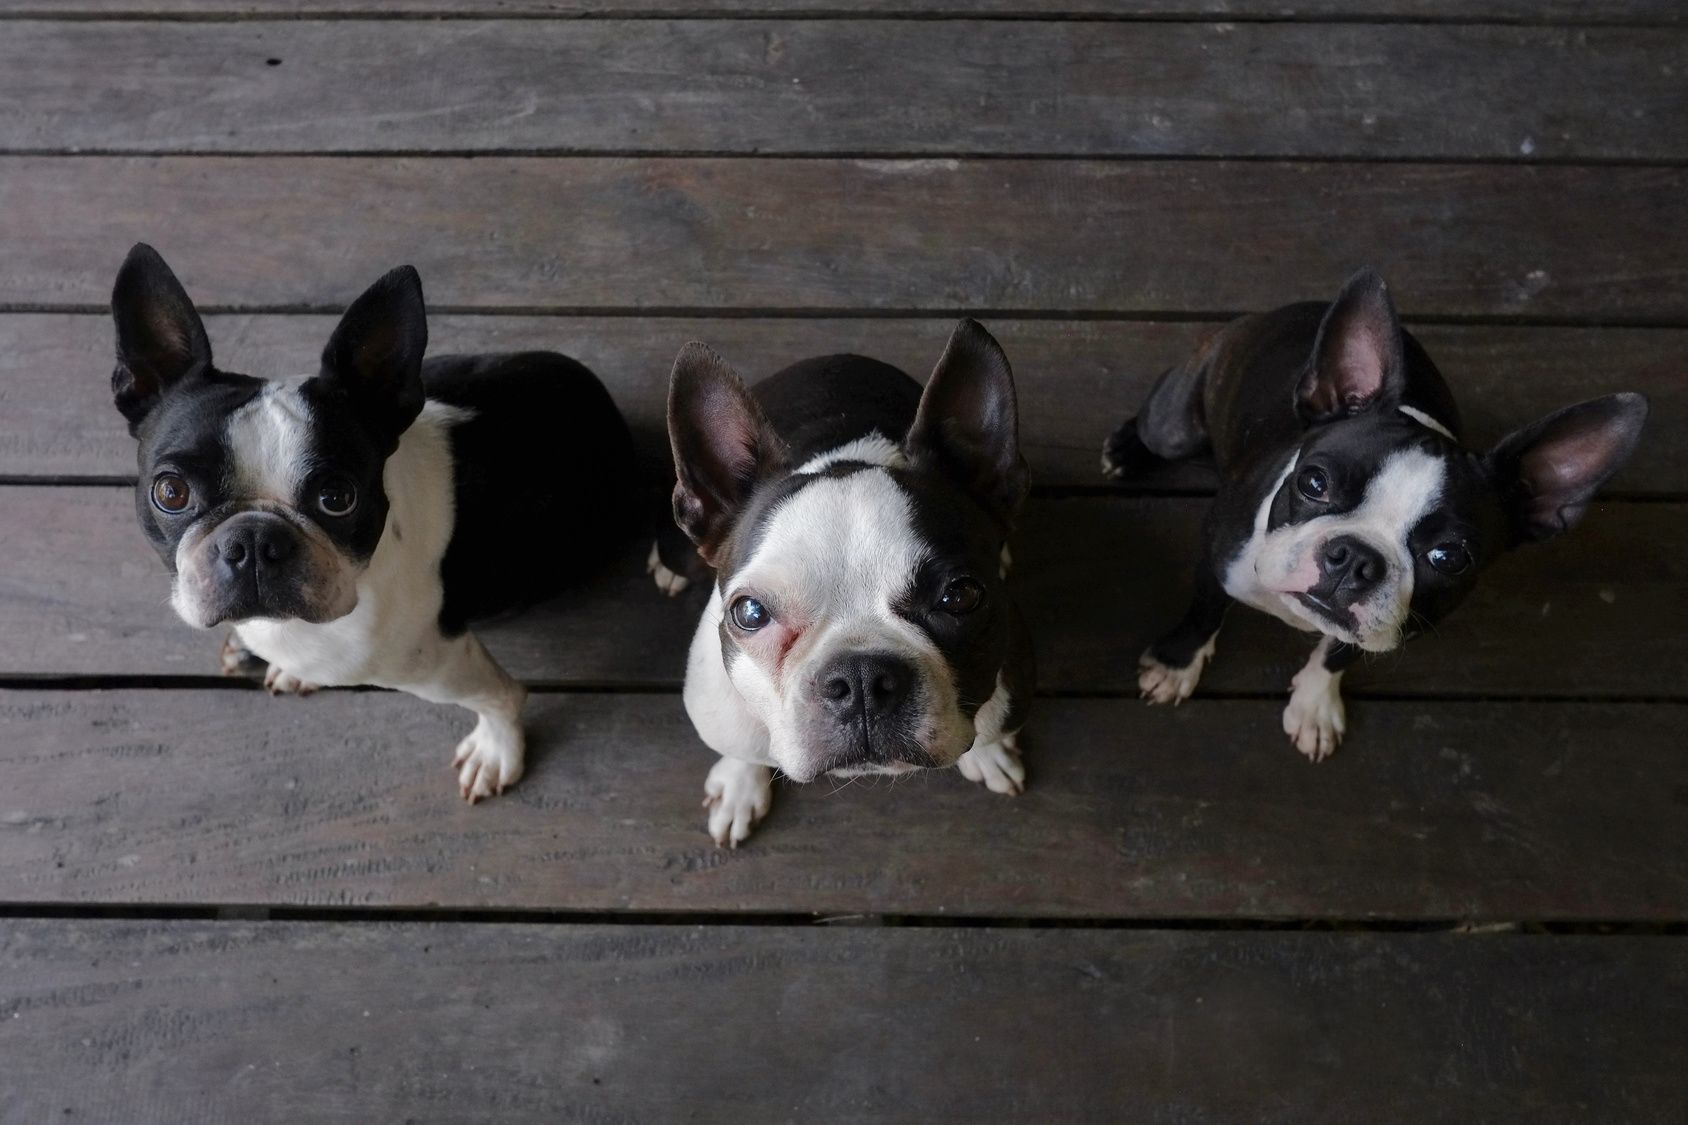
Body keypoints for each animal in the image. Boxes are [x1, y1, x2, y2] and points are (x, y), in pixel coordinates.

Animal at [112, 244, 634, 797]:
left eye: (337, 497)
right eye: (171, 492)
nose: (254, 540)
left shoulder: (444, 665)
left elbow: (501, 698)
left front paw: (496, 751)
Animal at [651, 315, 1033, 841]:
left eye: (960, 596)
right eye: (750, 612)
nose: (862, 678)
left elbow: (992, 726)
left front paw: (990, 753)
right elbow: (741, 748)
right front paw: (740, 782)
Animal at [1100, 270, 1640, 756]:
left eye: (1449, 557)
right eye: (1313, 483)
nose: (1355, 559)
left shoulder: (1390, 625)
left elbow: (1340, 653)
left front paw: (1315, 705)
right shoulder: (1218, 560)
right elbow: (1205, 611)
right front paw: (1176, 664)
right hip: (1175, 425)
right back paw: (1126, 450)